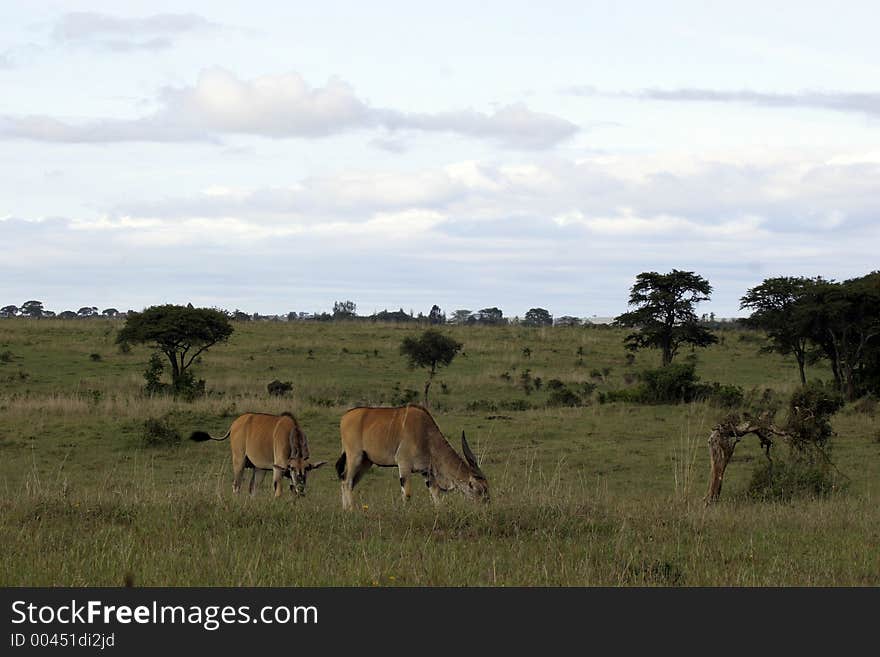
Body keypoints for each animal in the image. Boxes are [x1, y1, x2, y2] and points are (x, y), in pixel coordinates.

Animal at [187, 410, 324, 498]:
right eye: (292, 468)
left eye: (307, 468)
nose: (301, 488)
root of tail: (234, 424)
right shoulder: (278, 467)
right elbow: (278, 492)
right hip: (239, 461)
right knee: (236, 486)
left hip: (259, 469)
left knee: (252, 489)